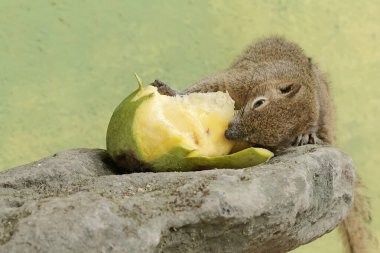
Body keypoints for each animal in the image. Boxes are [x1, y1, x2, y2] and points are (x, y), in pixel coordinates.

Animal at [153, 37, 376, 253]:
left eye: (262, 141)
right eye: (259, 103)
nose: (229, 133)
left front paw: (306, 135)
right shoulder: (240, 79)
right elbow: (207, 86)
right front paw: (173, 92)